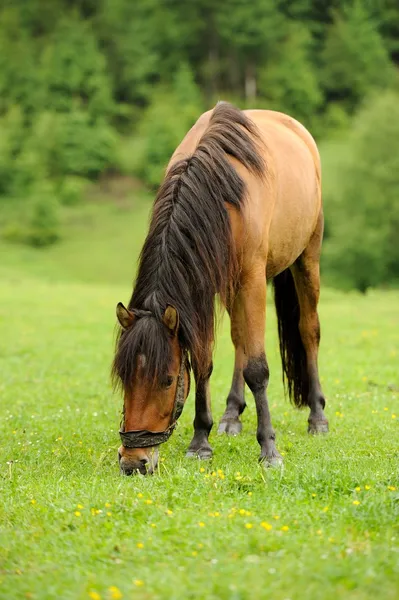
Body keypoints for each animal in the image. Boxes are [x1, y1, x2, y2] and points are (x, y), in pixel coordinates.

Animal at [111, 104, 328, 478]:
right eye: (125, 377)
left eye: (167, 380)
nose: (134, 462)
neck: (220, 192)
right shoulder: (204, 286)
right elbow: (203, 361)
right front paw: (201, 441)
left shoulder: (251, 279)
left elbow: (258, 368)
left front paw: (269, 449)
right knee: (240, 338)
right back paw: (231, 415)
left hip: (306, 259)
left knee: (308, 331)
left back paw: (317, 417)